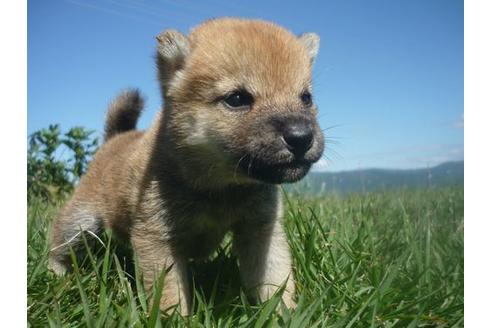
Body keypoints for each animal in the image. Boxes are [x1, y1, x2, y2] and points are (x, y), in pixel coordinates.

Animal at [49, 18, 322, 316]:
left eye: (306, 98)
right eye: (237, 99)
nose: (301, 137)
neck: (221, 188)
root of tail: (115, 138)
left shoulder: (261, 230)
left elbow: (275, 280)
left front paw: (286, 315)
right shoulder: (156, 239)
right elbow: (170, 295)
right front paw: (174, 319)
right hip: (80, 223)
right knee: (60, 242)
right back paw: (55, 274)